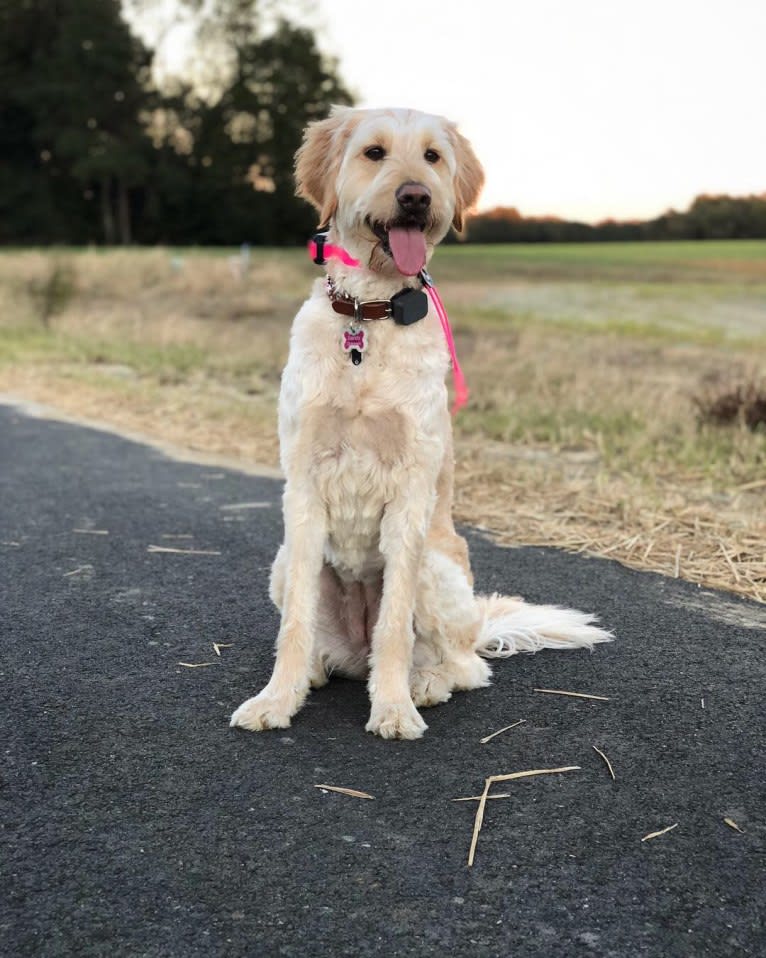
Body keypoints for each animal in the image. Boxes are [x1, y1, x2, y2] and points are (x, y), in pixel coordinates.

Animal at [228, 107, 612, 744]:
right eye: (374, 152)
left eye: (432, 157)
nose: (416, 197)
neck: (369, 317)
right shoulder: (303, 488)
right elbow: (295, 626)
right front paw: (276, 699)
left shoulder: (409, 492)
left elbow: (394, 627)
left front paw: (392, 708)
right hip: (282, 564)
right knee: (327, 643)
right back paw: (315, 672)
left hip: (438, 569)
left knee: (465, 665)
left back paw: (424, 682)